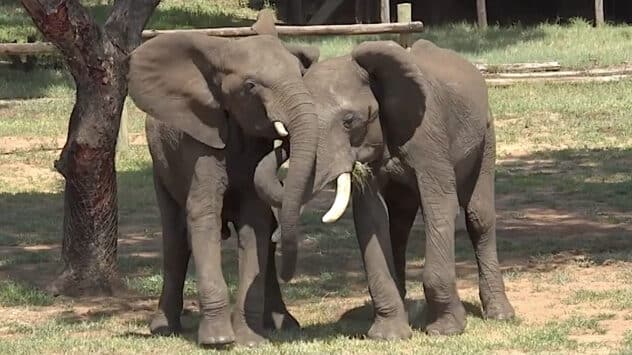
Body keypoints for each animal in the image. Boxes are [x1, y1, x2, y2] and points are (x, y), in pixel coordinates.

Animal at [125, 27, 318, 348]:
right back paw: (163, 328)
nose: (285, 138)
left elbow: (255, 224)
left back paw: (285, 325)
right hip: (160, 166)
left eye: (302, 75)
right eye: (250, 86)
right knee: (175, 238)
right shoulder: (198, 142)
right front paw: (217, 340)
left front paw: (249, 340)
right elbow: (203, 216)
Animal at [254, 38, 516, 340]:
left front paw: (446, 330)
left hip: (486, 135)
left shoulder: (429, 135)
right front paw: (388, 335)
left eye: (349, 121)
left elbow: (440, 207)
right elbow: (371, 217)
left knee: (478, 216)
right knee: (399, 226)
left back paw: (501, 314)